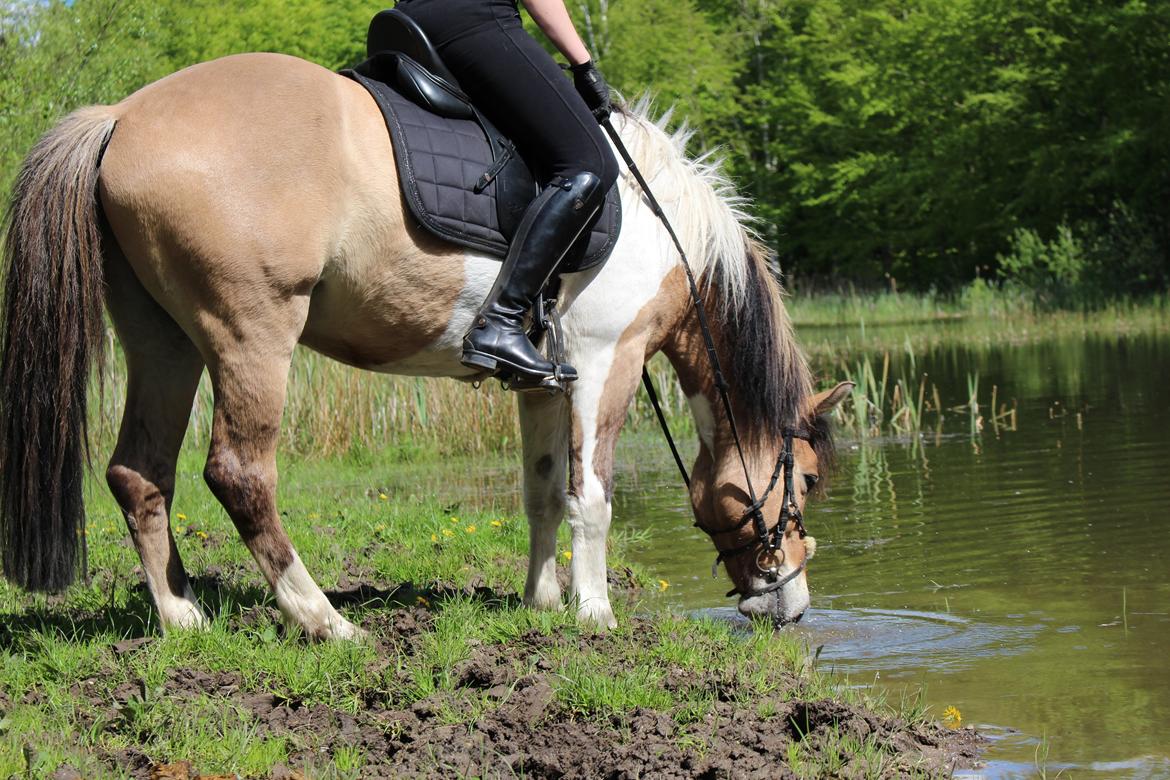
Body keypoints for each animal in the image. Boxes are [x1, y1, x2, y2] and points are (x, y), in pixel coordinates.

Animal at [0, 53, 847, 640]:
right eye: (805, 477)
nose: (793, 604)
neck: (660, 220)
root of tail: (123, 115)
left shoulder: (543, 379)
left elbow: (543, 489)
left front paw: (542, 602)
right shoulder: (606, 362)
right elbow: (592, 496)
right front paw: (594, 614)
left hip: (163, 342)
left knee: (139, 474)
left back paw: (182, 617)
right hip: (251, 338)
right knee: (240, 476)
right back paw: (326, 622)